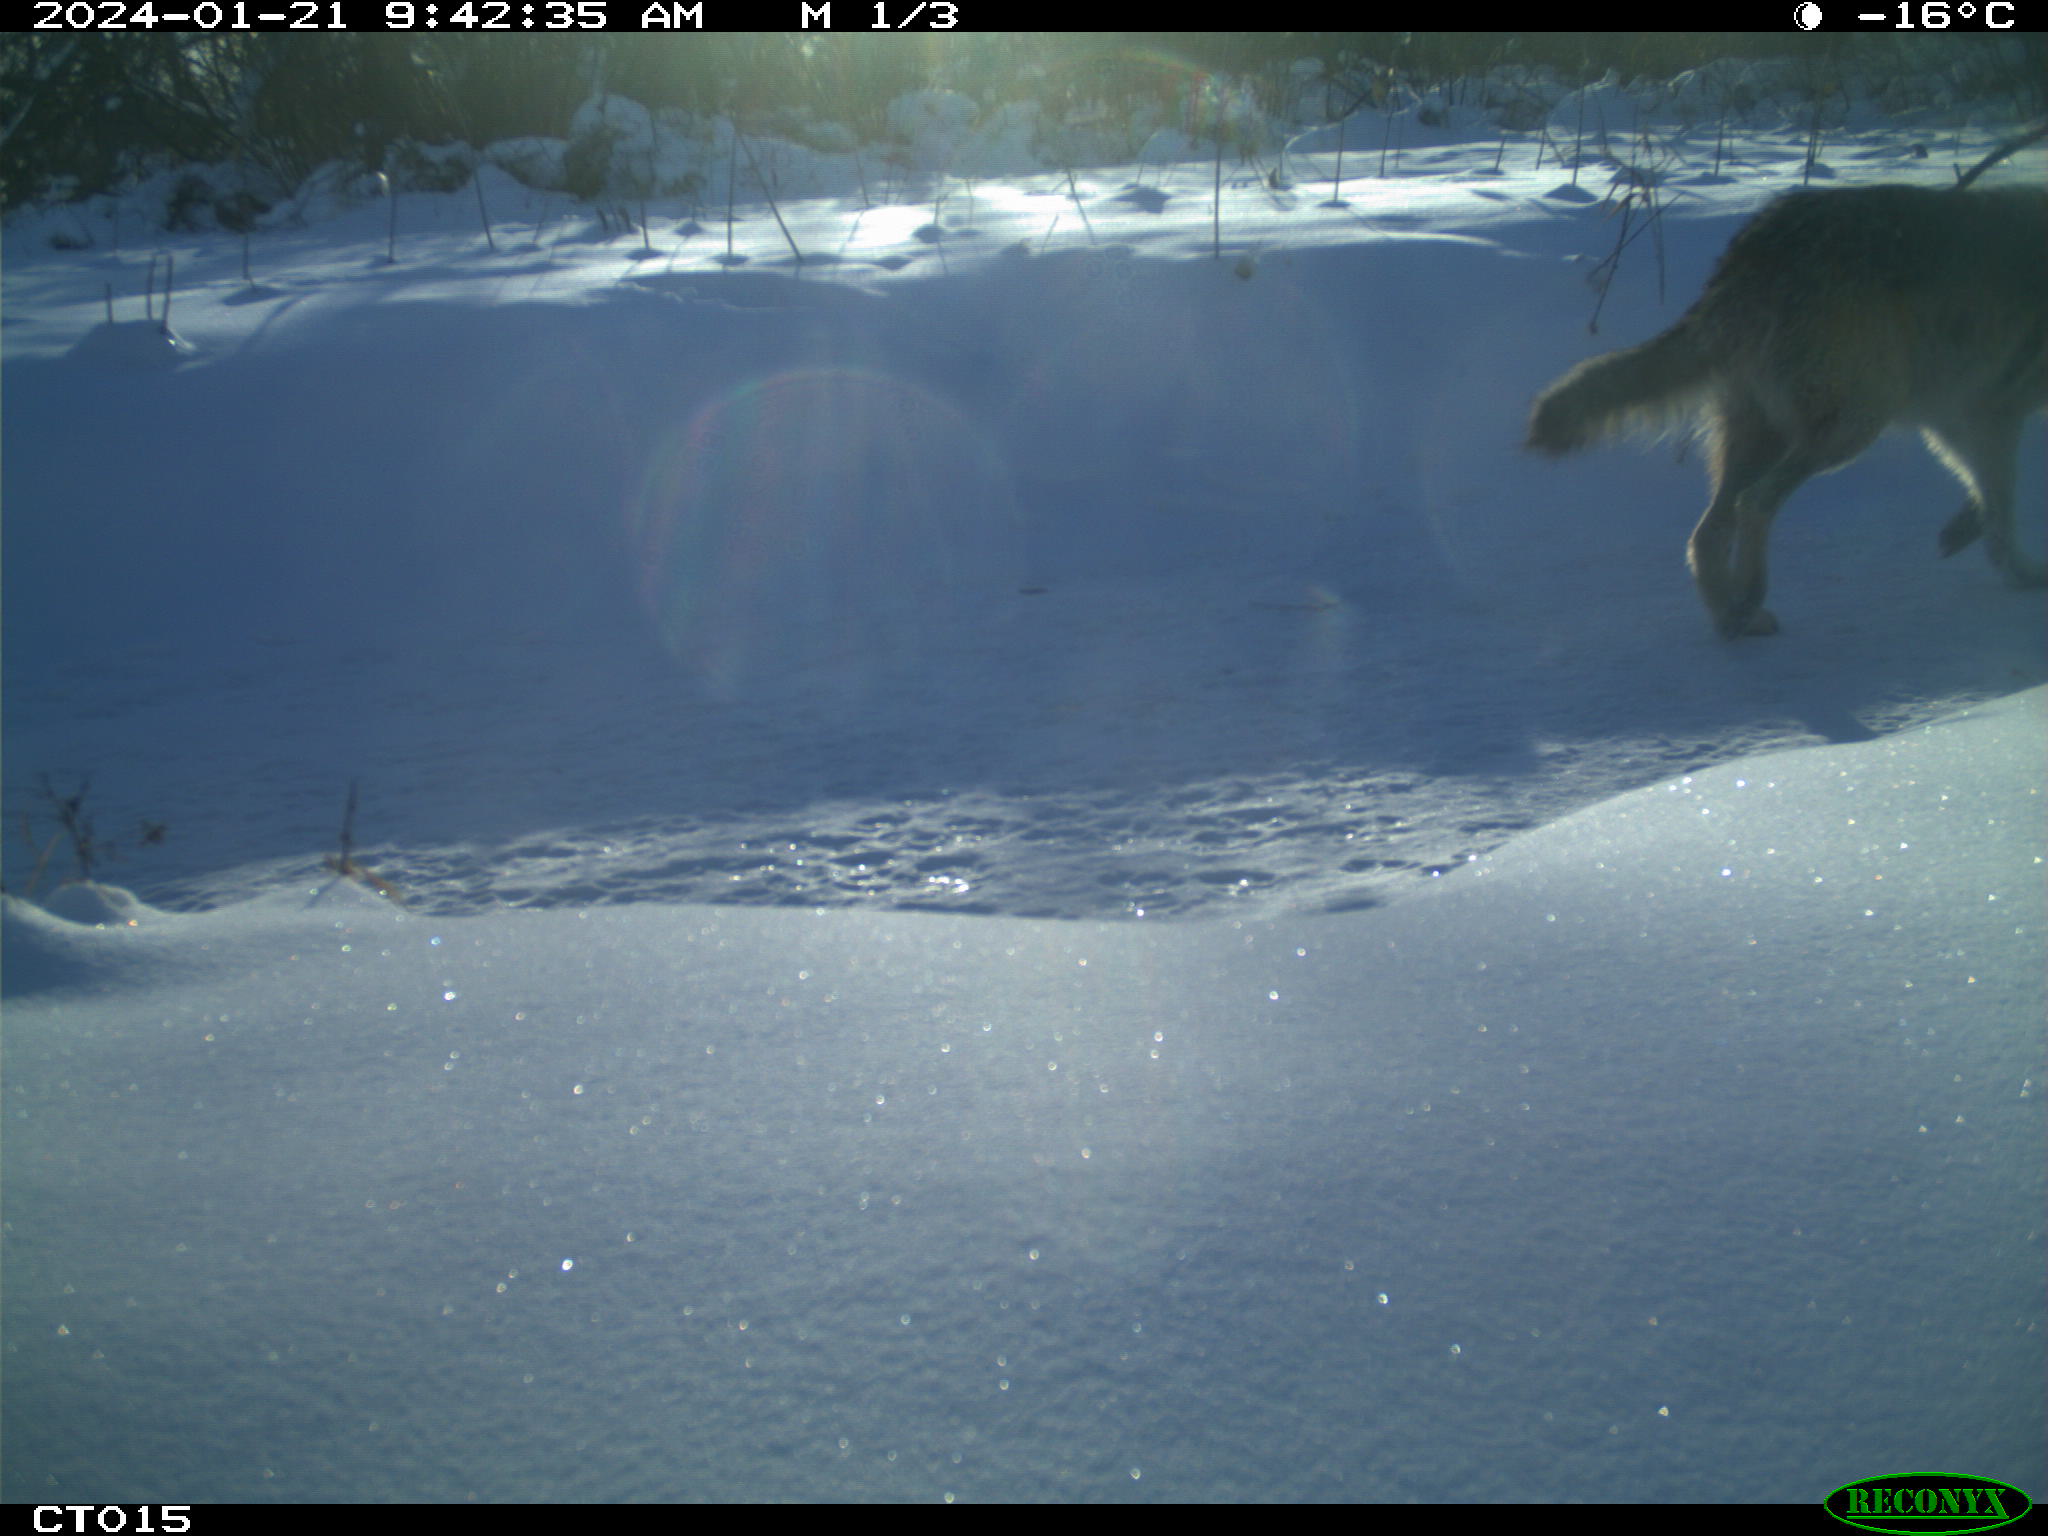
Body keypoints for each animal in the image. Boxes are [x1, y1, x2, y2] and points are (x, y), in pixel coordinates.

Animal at [1531, 183, 2039, 638]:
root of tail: (1750, 249)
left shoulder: (1955, 416)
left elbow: (1983, 493)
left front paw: (1963, 534)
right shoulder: (1995, 412)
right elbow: (2002, 502)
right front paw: (2023, 573)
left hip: (1768, 436)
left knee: (1709, 531)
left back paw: (1735, 618)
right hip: (1851, 426)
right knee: (1754, 504)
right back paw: (1748, 598)